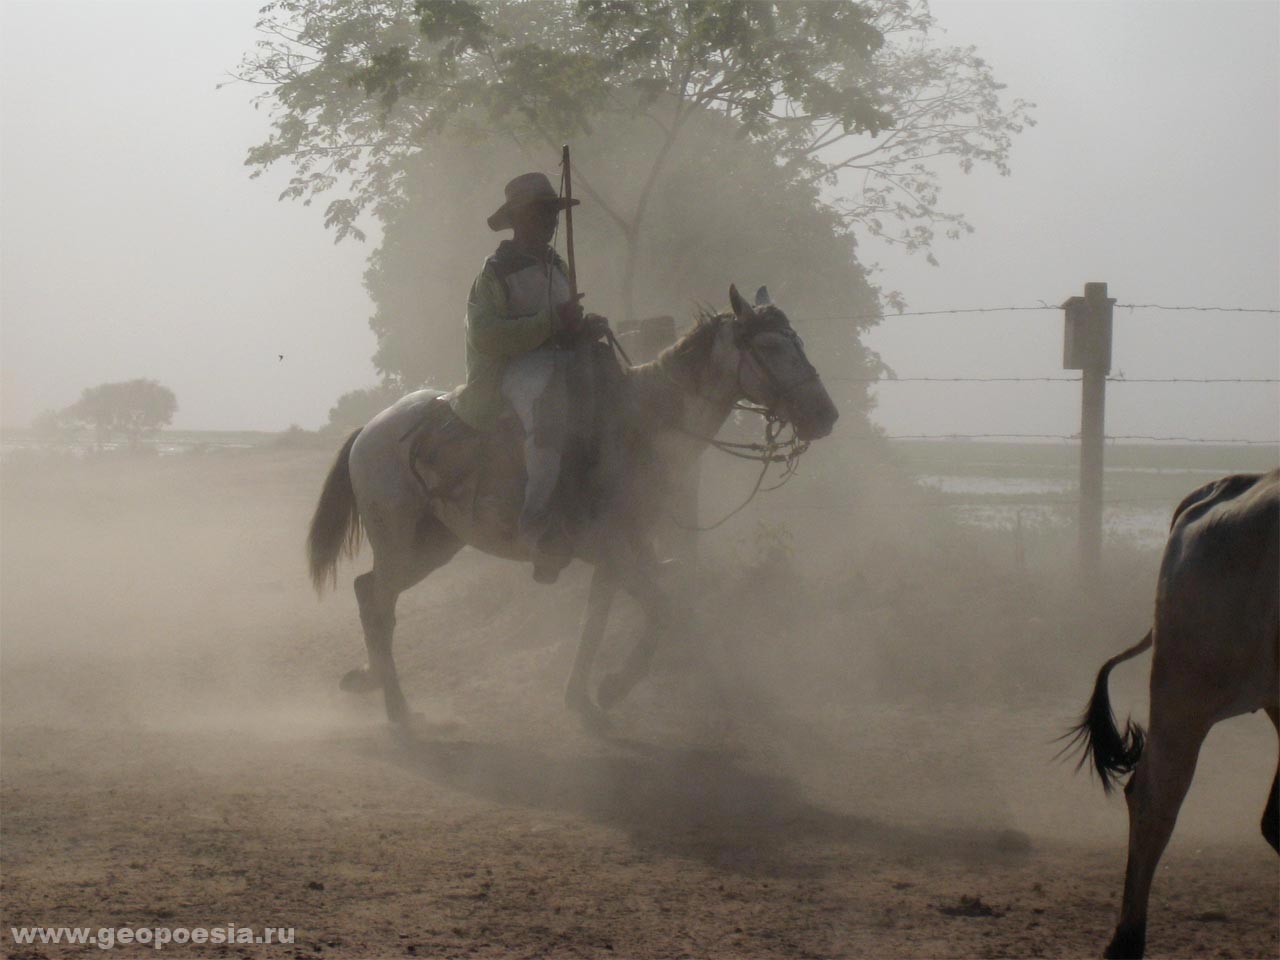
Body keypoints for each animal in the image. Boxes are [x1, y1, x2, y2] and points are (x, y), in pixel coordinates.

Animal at [304, 285, 834, 727]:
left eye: (800, 342)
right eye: (771, 347)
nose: (825, 414)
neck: (642, 423)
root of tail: (369, 432)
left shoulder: (618, 557)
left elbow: (595, 624)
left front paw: (580, 699)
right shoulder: (615, 550)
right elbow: (662, 610)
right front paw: (613, 687)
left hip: (434, 545)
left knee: (369, 592)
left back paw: (370, 681)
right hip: (398, 540)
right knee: (378, 605)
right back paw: (397, 709)